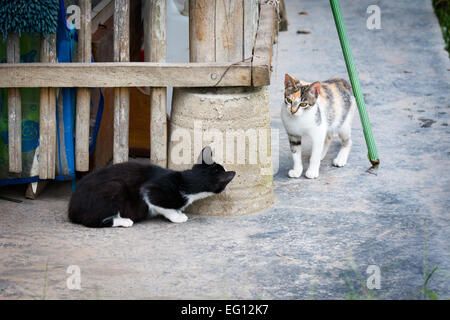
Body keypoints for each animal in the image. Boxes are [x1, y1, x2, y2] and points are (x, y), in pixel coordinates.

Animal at [69, 148, 237, 228]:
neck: (186, 180)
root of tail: (72, 209)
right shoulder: (152, 190)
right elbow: (159, 203)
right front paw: (177, 216)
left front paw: (179, 212)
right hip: (114, 187)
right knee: (91, 221)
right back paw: (124, 221)